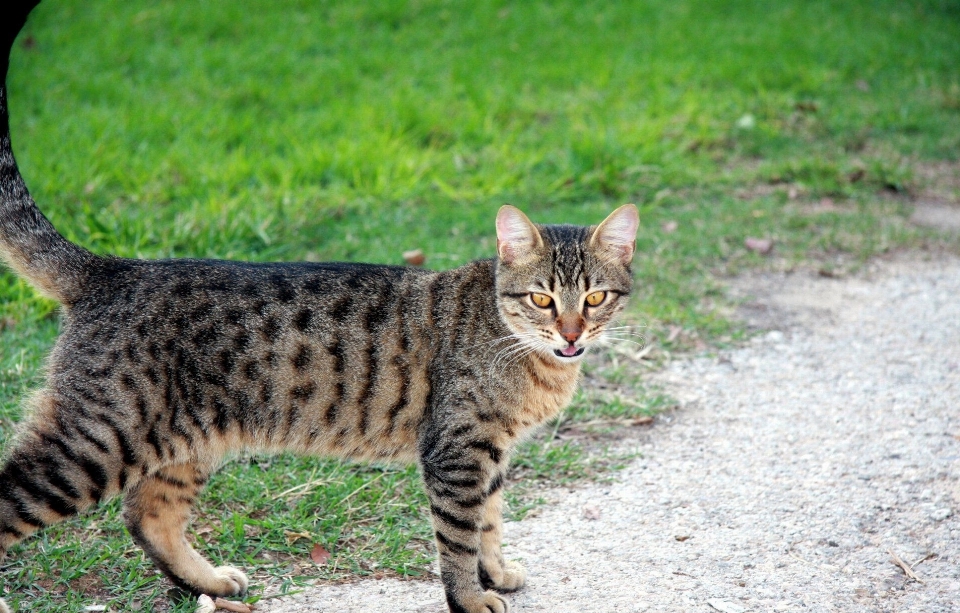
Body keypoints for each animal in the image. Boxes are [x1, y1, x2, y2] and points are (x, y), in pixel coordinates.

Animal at [1, 10, 636, 613]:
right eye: (542, 299)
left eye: (595, 298)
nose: (571, 334)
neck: (531, 358)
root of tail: (112, 268)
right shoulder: (458, 452)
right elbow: (459, 538)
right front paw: (470, 597)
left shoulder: (492, 453)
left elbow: (491, 523)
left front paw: (496, 572)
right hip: (95, 443)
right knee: (19, 497)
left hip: (185, 444)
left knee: (147, 515)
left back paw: (208, 581)